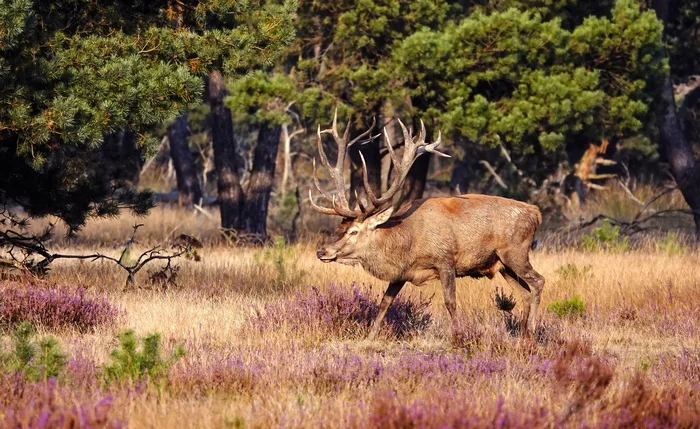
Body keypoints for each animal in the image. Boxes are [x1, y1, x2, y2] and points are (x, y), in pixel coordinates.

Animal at [312, 112, 548, 340]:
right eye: (338, 228)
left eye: (354, 231)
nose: (322, 252)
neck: (407, 243)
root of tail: (536, 213)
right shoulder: (402, 273)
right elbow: (385, 302)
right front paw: (370, 337)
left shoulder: (445, 260)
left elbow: (450, 302)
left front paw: (458, 336)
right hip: (502, 264)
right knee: (524, 292)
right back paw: (523, 334)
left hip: (515, 252)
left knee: (538, 281)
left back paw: (532, 330)